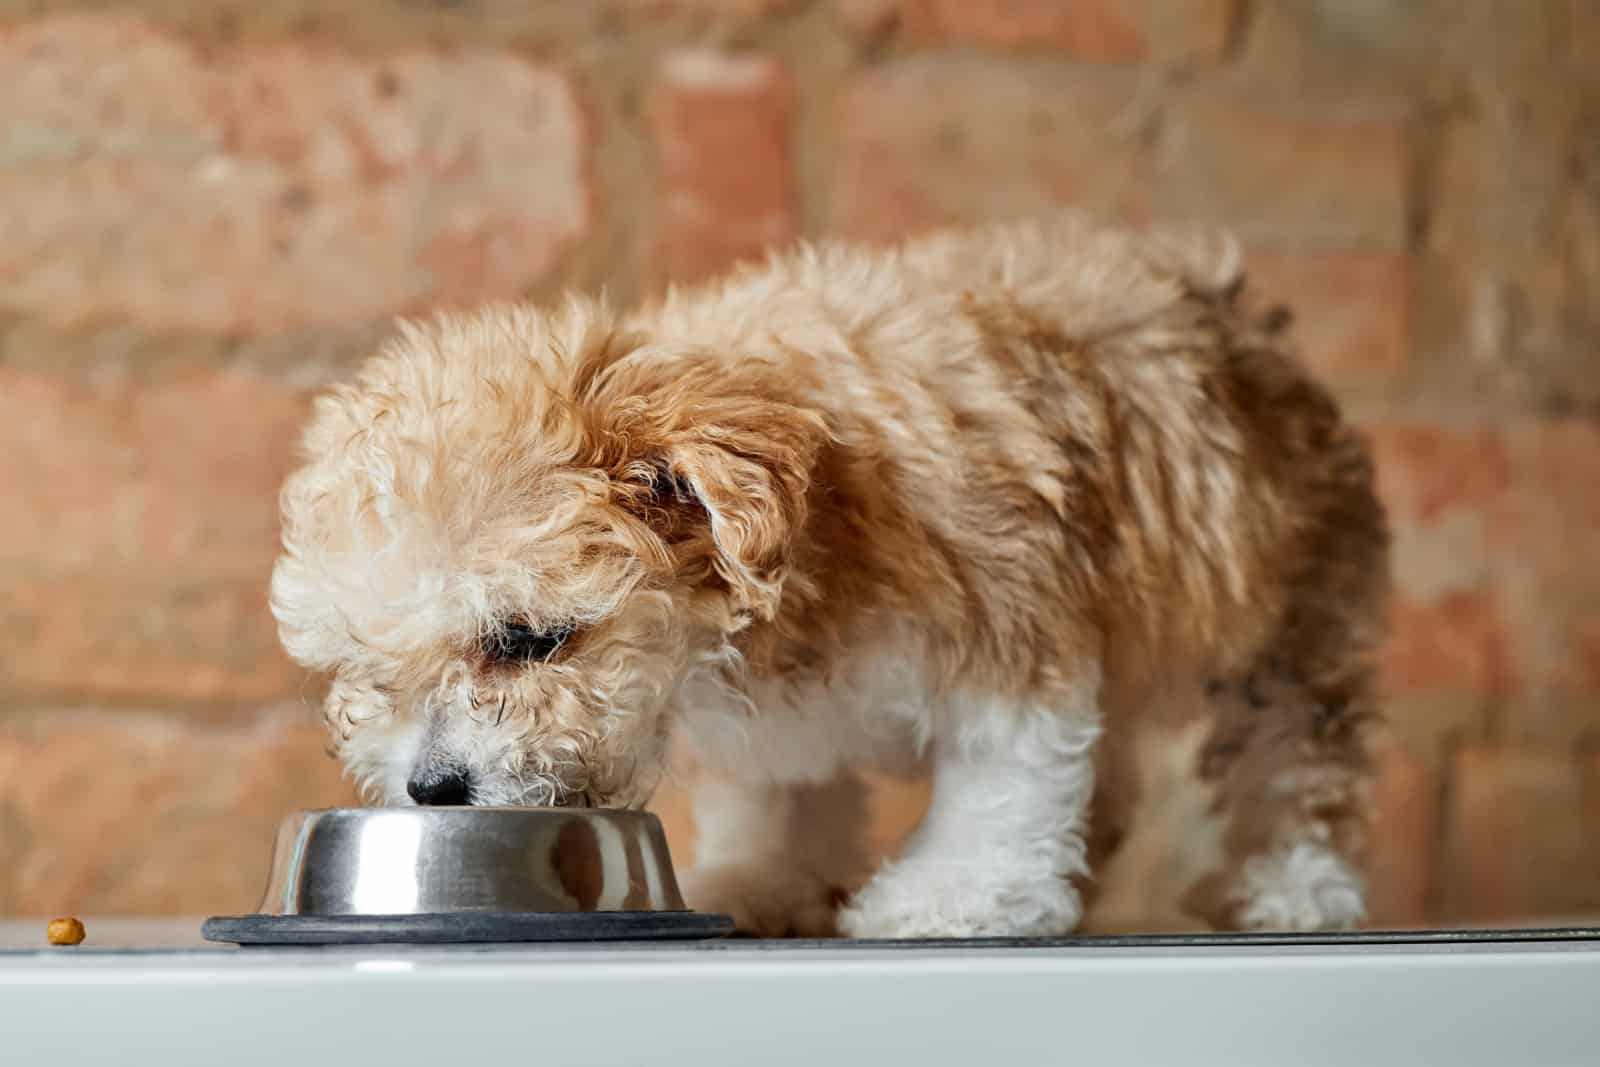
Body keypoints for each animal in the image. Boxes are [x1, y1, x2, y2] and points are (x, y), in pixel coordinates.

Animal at [268, 214, 1382, 934]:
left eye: (527, 639)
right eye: (371, 668)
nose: (433, 786)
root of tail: (1232, 305)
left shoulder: (1008, 610)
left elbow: (1002, 771)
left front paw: (955, 895)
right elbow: (787, 790)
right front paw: (764, 876)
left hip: (1286, 607)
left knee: (1297, 748)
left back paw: (1299, 885)